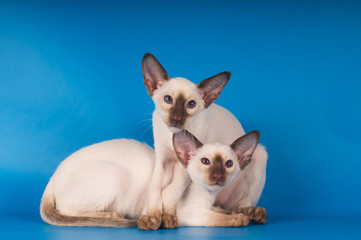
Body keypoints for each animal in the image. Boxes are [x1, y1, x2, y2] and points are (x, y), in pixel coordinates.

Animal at [138, 53, 268, 230]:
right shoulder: (163, 160)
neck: (171, 134)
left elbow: (170, 192)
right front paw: (151, 216)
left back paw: (251, 213)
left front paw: (168, 216)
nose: (177, 119)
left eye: (191, 104)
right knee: (221, 207)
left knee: (241, 203)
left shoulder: (185, 164)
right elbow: (155, 188)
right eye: (168, 99)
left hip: (260, 154)